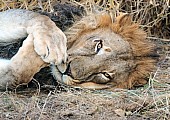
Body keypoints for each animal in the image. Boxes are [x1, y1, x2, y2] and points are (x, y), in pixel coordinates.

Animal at [0, 9, 157, 90]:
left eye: (105, 75)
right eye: (99, 46)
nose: (69, 70)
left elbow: (17, 75)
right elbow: (39, 18)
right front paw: (53, 45)